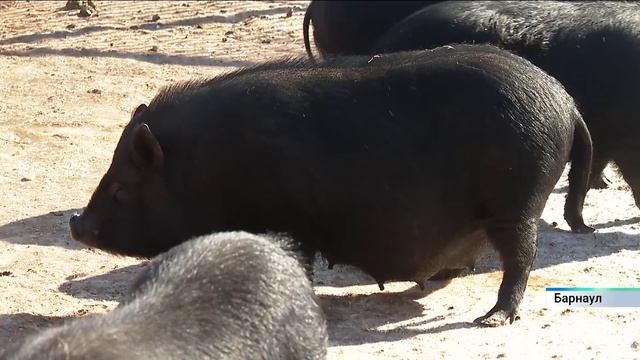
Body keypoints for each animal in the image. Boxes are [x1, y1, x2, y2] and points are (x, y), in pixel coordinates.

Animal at [67, 45, 592, 326]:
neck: (203, 167)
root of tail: (567, 102)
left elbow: (295, 261)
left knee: (521, 257)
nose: (76, 222)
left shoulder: (291, 221)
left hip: (517, 200)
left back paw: (492, 318)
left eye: (120, 190)